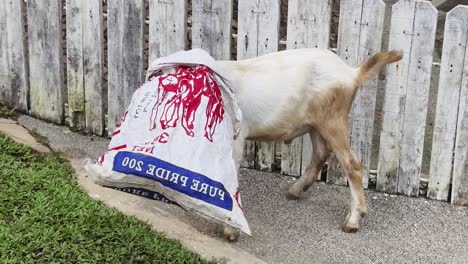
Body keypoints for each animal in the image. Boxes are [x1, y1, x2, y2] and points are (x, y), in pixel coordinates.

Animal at [216, 48, 402, 240]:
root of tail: (352, 73)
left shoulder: (235, 139)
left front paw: (230, 229)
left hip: (333, 119)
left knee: (352, 164)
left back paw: (352, 222)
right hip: (316, 124)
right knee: (321, 153)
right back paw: (295, 190)